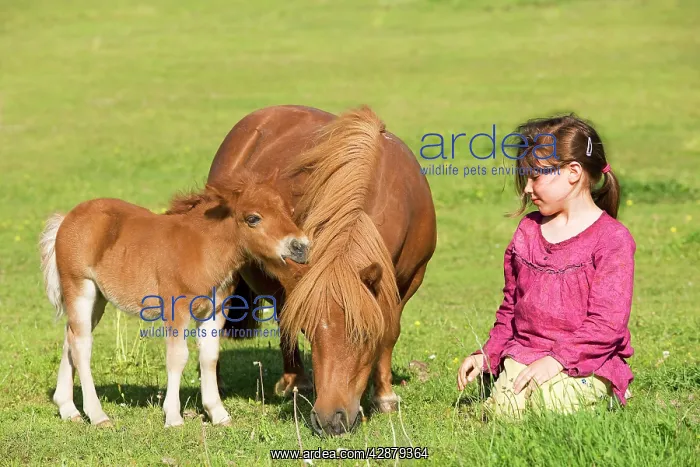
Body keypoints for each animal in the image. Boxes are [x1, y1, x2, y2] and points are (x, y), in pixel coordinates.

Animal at [39, 170, 310, 428]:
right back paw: (97, 415)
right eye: (253, 218)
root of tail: (67, 218)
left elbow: (209, 357)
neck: (202, 249)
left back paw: (68, 409)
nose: (301, 246)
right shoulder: (176, 309)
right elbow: (178, 357)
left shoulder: (215, 310)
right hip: (79, 288)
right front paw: (173, 417)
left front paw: (218, 414)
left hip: (98, 299)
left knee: (70, 337)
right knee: (82, 345)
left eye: (289, 211)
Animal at [207, 105, 437, 436]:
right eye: (311, 332)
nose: (329, 421)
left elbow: (390, 331)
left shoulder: (409, 281)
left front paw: (385, 396)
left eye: (364, 335)